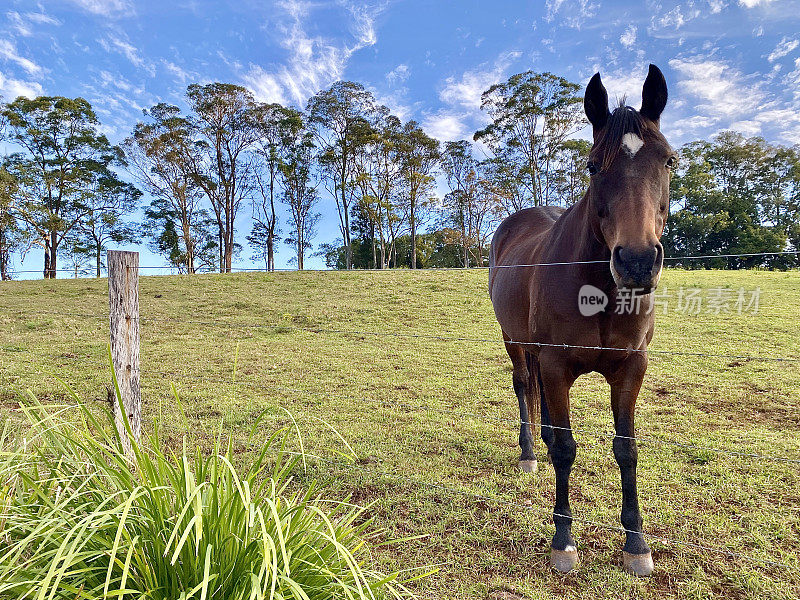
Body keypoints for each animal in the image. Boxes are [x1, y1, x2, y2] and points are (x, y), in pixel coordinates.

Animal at [488, 65, 676, 576]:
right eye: (593, 166)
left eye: (669, 161)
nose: (636, 262)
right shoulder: (556, 366)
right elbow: (567, 449)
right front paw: (563, 539)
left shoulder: (631, 369)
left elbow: (626, 449)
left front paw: (637, 543)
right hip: (516, 343)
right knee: (524, 388)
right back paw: (530, 451)